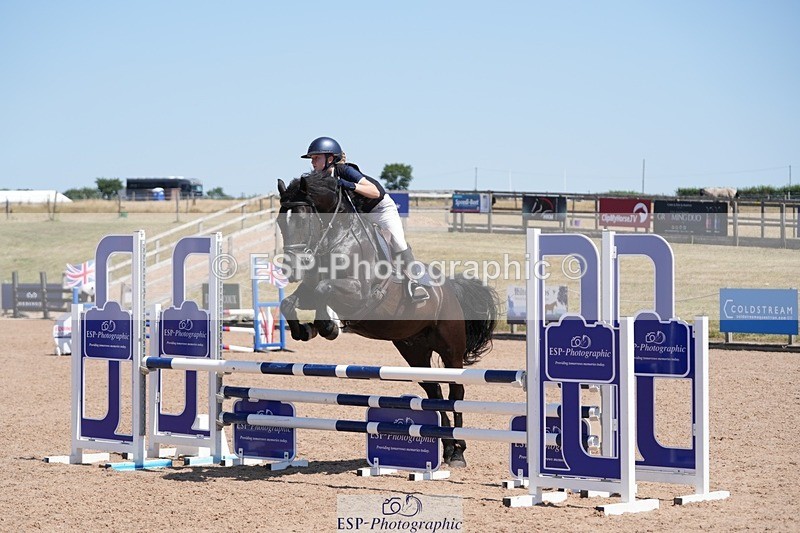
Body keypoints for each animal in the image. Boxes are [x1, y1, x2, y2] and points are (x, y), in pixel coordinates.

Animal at [275, 171, 500, 467]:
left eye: (303, 219)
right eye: (280, 221)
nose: (290, 269)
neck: (334, 238)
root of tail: (450, 289)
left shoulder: (358, 293)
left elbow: (325, 291)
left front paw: (327, 326)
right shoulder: (310, 289)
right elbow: (288, 302)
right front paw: (305, 330)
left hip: (451, 348)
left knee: (456, 393)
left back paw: (458, 453)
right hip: (414, 351)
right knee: (435, 393)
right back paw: (448, 447)